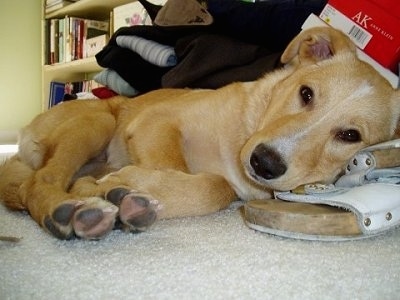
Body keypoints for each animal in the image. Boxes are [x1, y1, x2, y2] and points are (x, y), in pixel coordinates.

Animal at [0, 27, 398, 239]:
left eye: (350, 136)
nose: (264, 163)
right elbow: (205, 181)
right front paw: (133, 187)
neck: (246, 126)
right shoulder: (155, 122)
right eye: (306, 93)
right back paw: (69, 211)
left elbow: (215, 186)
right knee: (39, 182)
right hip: (97, 122)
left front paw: (125, 192)